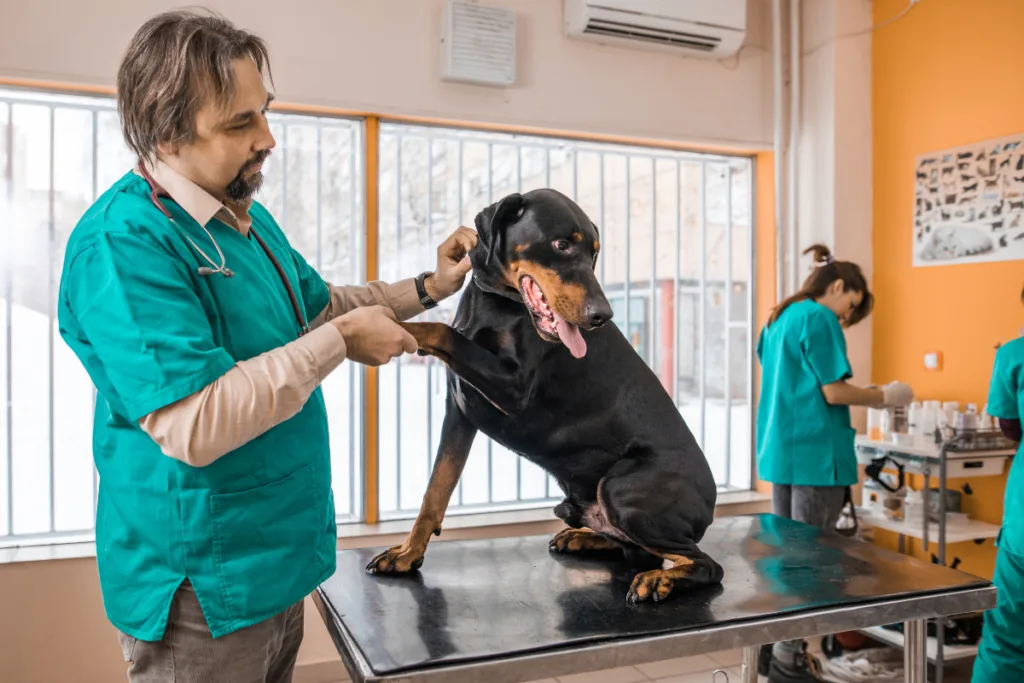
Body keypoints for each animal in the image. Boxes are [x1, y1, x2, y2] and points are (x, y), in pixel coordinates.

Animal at [364, 187, 724, 602]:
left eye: (594, 252)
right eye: (561, 245)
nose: (602, 315)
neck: (498, 302)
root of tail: (710, 504)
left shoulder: (513, 388)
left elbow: (440, 330)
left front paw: (389, 325)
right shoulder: (460, 412)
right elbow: (435, 491)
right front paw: (407, 553)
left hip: (621, 490)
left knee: (703, 563)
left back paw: (658, 580)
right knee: (638, 550)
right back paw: (583, 538)